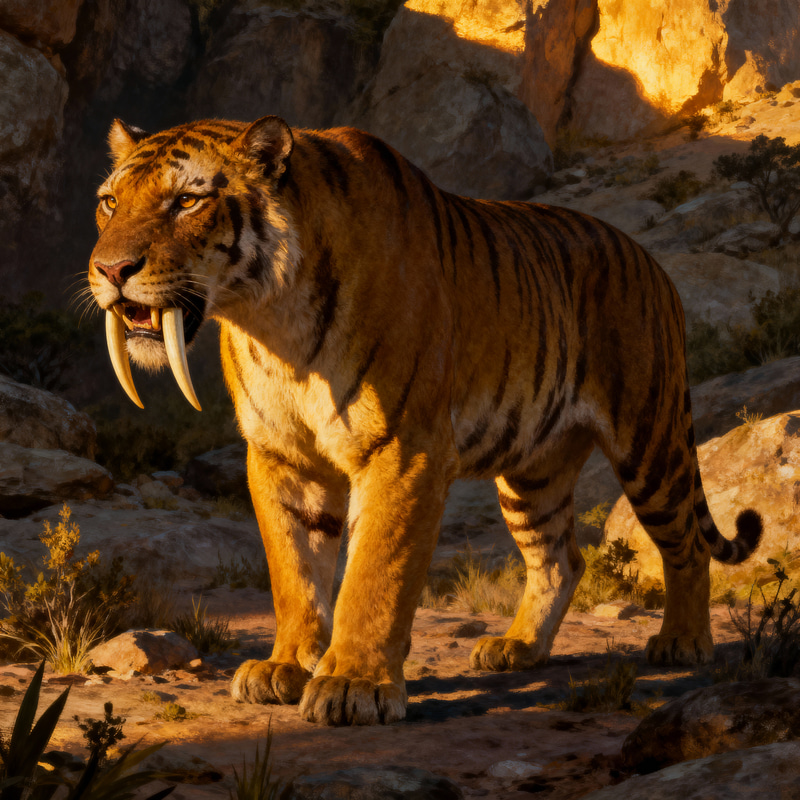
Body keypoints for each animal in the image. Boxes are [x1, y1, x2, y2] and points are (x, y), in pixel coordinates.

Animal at [88, 115, 763, 726]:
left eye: (187, 201)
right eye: (110, 202)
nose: (111, 270)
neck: (270, 319)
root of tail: (651, 261)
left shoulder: (401, 447)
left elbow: (375, 573)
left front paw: (352, 685)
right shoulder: (281, 455)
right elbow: (295, 568)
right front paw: (285, 666)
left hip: (650, 441)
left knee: (686, 545)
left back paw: (682, 643)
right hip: (533, 471)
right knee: (561, 557)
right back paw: (518, 648)